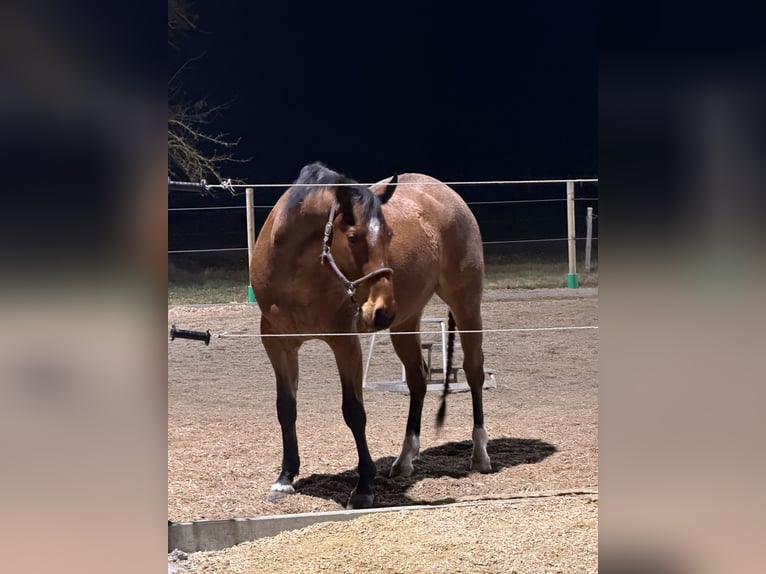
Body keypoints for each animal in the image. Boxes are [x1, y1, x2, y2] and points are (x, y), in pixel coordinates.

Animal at [250, 162, 491, 509]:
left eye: (389, 235)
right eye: (353, 237)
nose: (381, 311)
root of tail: (446, 193)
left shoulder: (345, 344)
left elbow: (353, 411)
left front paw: (363, 486)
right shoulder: (278, 344)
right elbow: (286, 407)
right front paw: (285, 478)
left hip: (466, 304)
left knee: (474, 372)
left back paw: (480, 454)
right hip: (406, 321)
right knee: (417, 380)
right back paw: (404, 460)